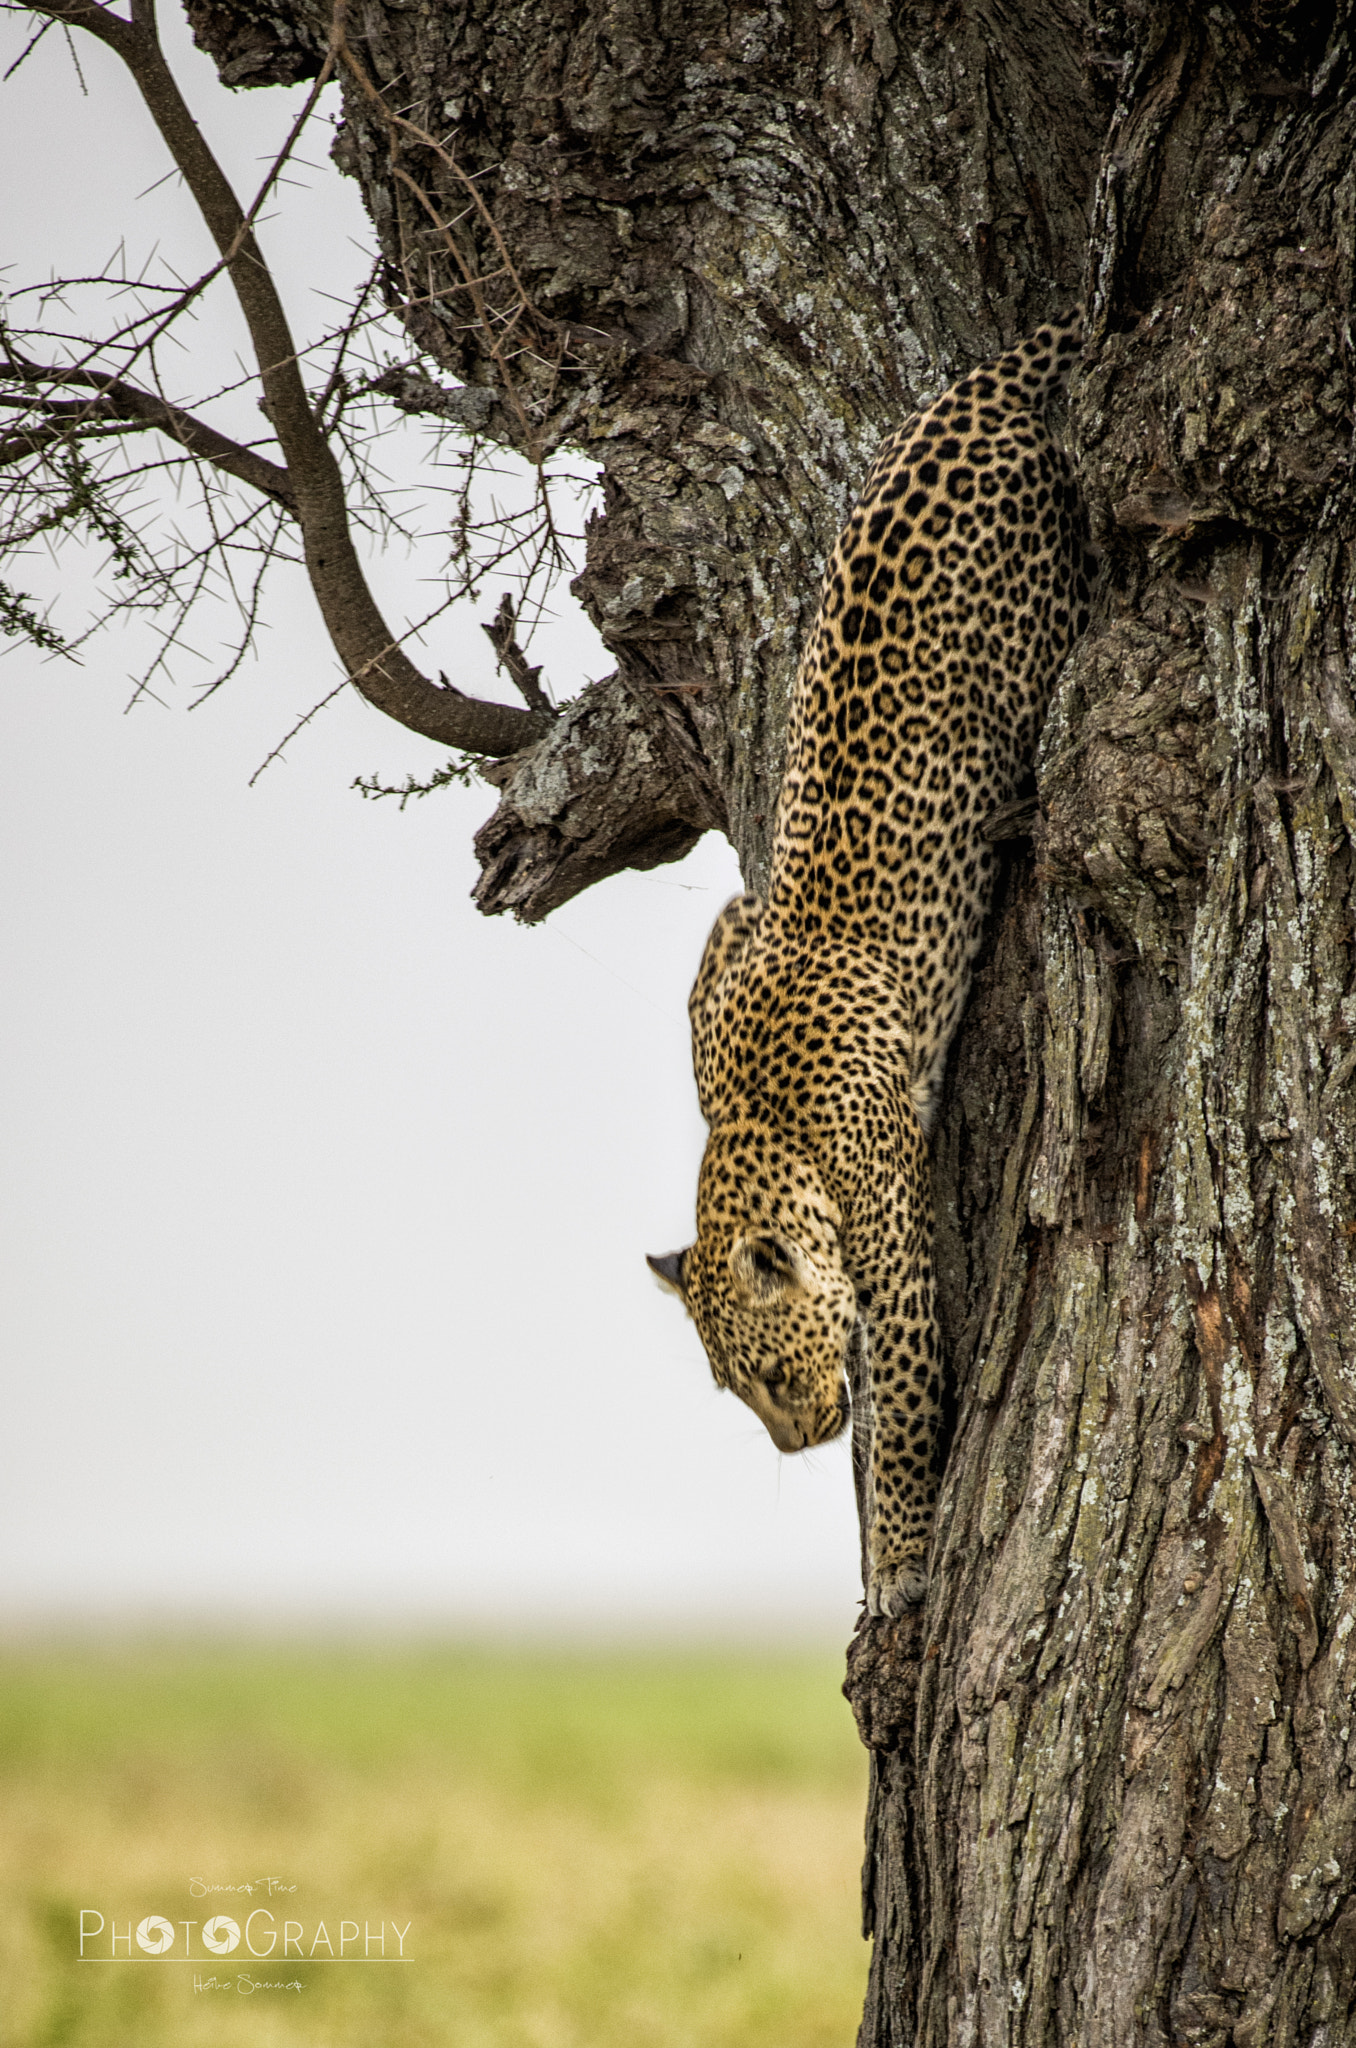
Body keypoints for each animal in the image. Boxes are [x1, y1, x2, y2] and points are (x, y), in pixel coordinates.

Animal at [655, 311, 1097, 1613]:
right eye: (728, 1387)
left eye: (760, 1369)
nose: (798, 1439)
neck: (756, 1120)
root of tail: (977, 392)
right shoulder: (722, 939)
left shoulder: (893, 1242)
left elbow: (901, 1412)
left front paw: (898, 1563)